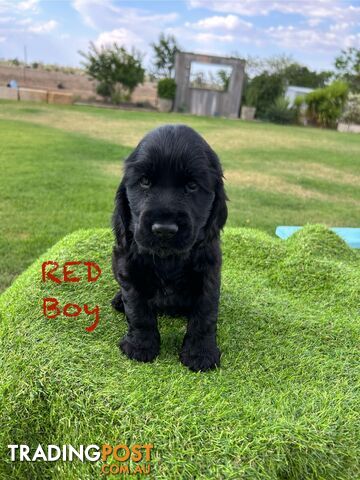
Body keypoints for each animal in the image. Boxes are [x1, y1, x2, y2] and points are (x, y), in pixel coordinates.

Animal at [111, 124, 226, 372]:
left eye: (192, 186)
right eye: (145, 181)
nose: (164, 229)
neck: (169, 259)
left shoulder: (209, 271)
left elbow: (205, 313)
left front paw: (200, 354)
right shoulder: (127, 267)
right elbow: (137, 310)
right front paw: (140, 347)